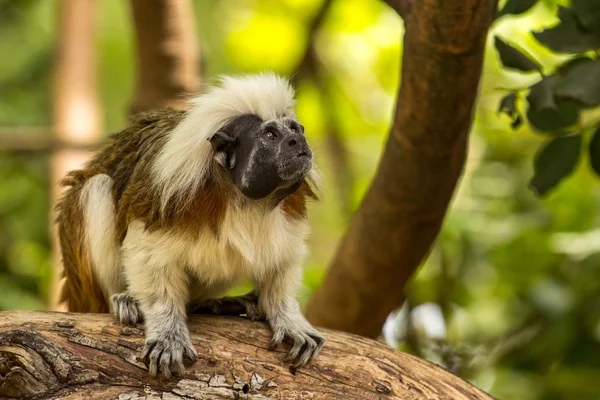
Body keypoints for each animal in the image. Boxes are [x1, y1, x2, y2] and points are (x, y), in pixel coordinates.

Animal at [55, 72, 326, 378]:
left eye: (296, 129)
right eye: (270, 136)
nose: (297, 140)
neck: (241, 199)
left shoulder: (290, 210)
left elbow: (284, 262)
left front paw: (288, 317)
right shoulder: (170, 195)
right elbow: (147, 255)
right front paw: (167, 334)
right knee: (97, 187)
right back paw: (123, 299)